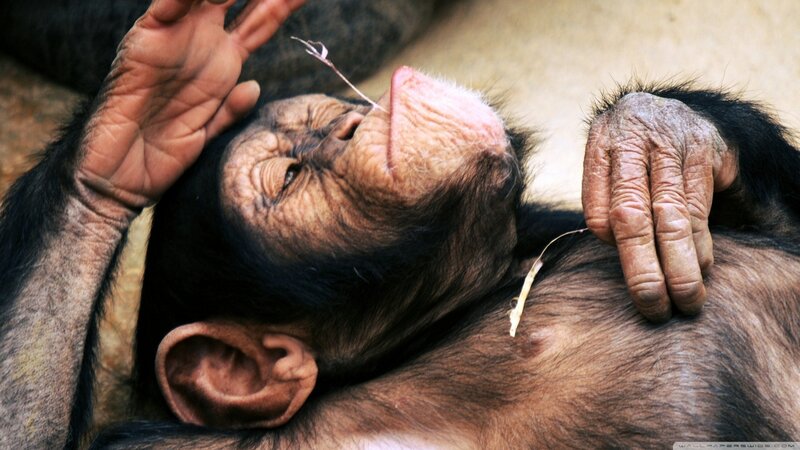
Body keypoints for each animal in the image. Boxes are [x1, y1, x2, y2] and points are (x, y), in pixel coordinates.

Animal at [1, 0, 799, 448]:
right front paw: (127, 129)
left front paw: (651, 142)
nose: (352, 122)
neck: (450, 323)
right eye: (289, 178)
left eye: (322, 114)